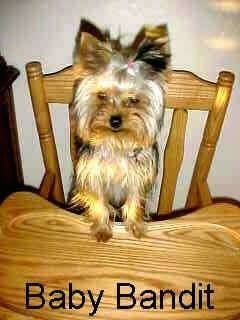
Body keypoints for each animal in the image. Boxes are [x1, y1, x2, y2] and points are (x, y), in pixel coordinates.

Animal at [67, 27, 169, 241]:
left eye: (133, 100)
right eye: (102, 96)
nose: (115, 121)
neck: (117, 141)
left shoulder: (138, 175)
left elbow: (135, 198)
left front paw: (135, 226)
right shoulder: (93, 172)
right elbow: (98, 200)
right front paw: (102, 229)